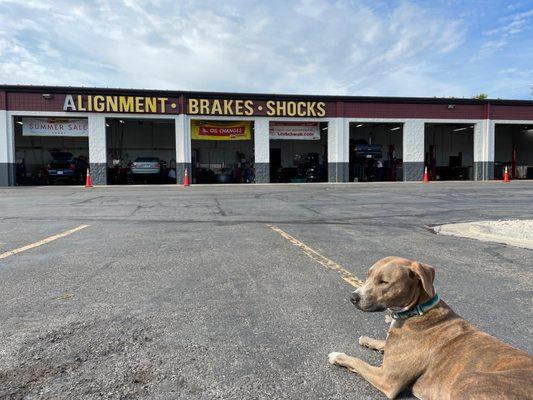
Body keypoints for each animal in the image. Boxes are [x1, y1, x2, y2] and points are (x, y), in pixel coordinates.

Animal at [326, 256, 528, 400]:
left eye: (384, 282)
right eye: (368, 275)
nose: (353, 297)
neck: (415, 310)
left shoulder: (387, 379)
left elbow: (357, 362)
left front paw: (338, 356)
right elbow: (384, 342)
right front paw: (368, 340)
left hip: (470, 381)